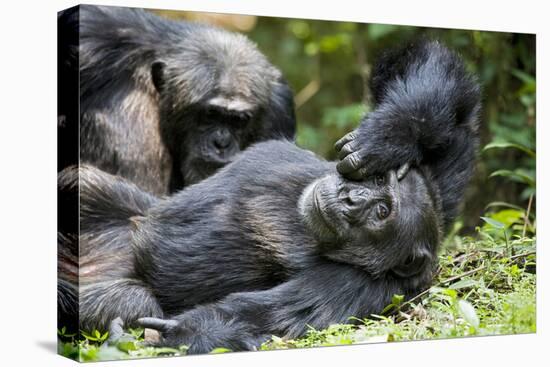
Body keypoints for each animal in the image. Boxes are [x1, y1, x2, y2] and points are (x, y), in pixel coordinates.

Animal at [58, 39, 484, 354]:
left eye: (382, 211)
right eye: (379, 182)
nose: (352, 198)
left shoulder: (365, 288)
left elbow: (267, 318)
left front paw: (184, 336)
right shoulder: (436, 184)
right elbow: (443, 95)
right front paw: (391, 133)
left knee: (131, 300)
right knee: (82, 184)